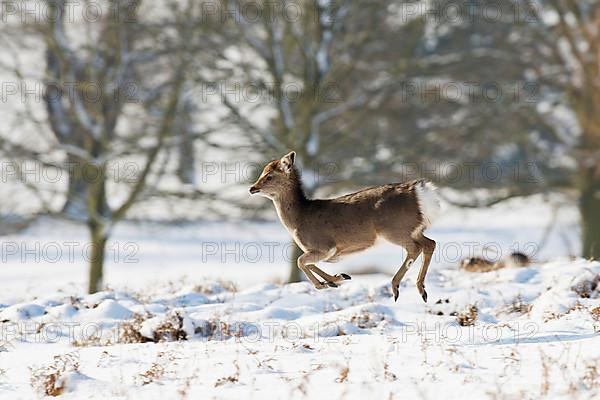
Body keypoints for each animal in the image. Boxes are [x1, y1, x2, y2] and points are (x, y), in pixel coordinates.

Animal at [248, 152, 440, 302]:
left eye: (269, 176)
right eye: (262, 173)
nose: (252, 188)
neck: (298, 219)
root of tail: (420, 193)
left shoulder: (324, 246)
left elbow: (300, 261)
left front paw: (324, 284)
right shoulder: (322, 251)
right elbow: (309, 263)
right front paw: (336, 279)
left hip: (394, 229)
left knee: (415, 248)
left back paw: (396, 287)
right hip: (413, 230)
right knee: (430, 243)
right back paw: (421, 290)